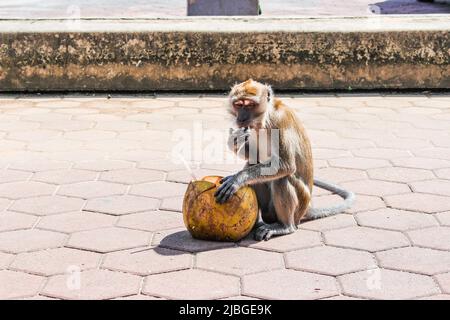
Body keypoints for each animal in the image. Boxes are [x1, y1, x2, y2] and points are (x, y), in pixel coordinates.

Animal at [214, 79, 356, 240]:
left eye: (249, 105)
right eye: (238, 104)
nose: (241, 118)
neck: (264, 120)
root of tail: (308, 206)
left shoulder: (279, 122)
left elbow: (285, 165)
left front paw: (237, 179)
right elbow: (254, 157)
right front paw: (234, 141)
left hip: (299, 204)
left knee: (282, 179)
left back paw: (284, 227)